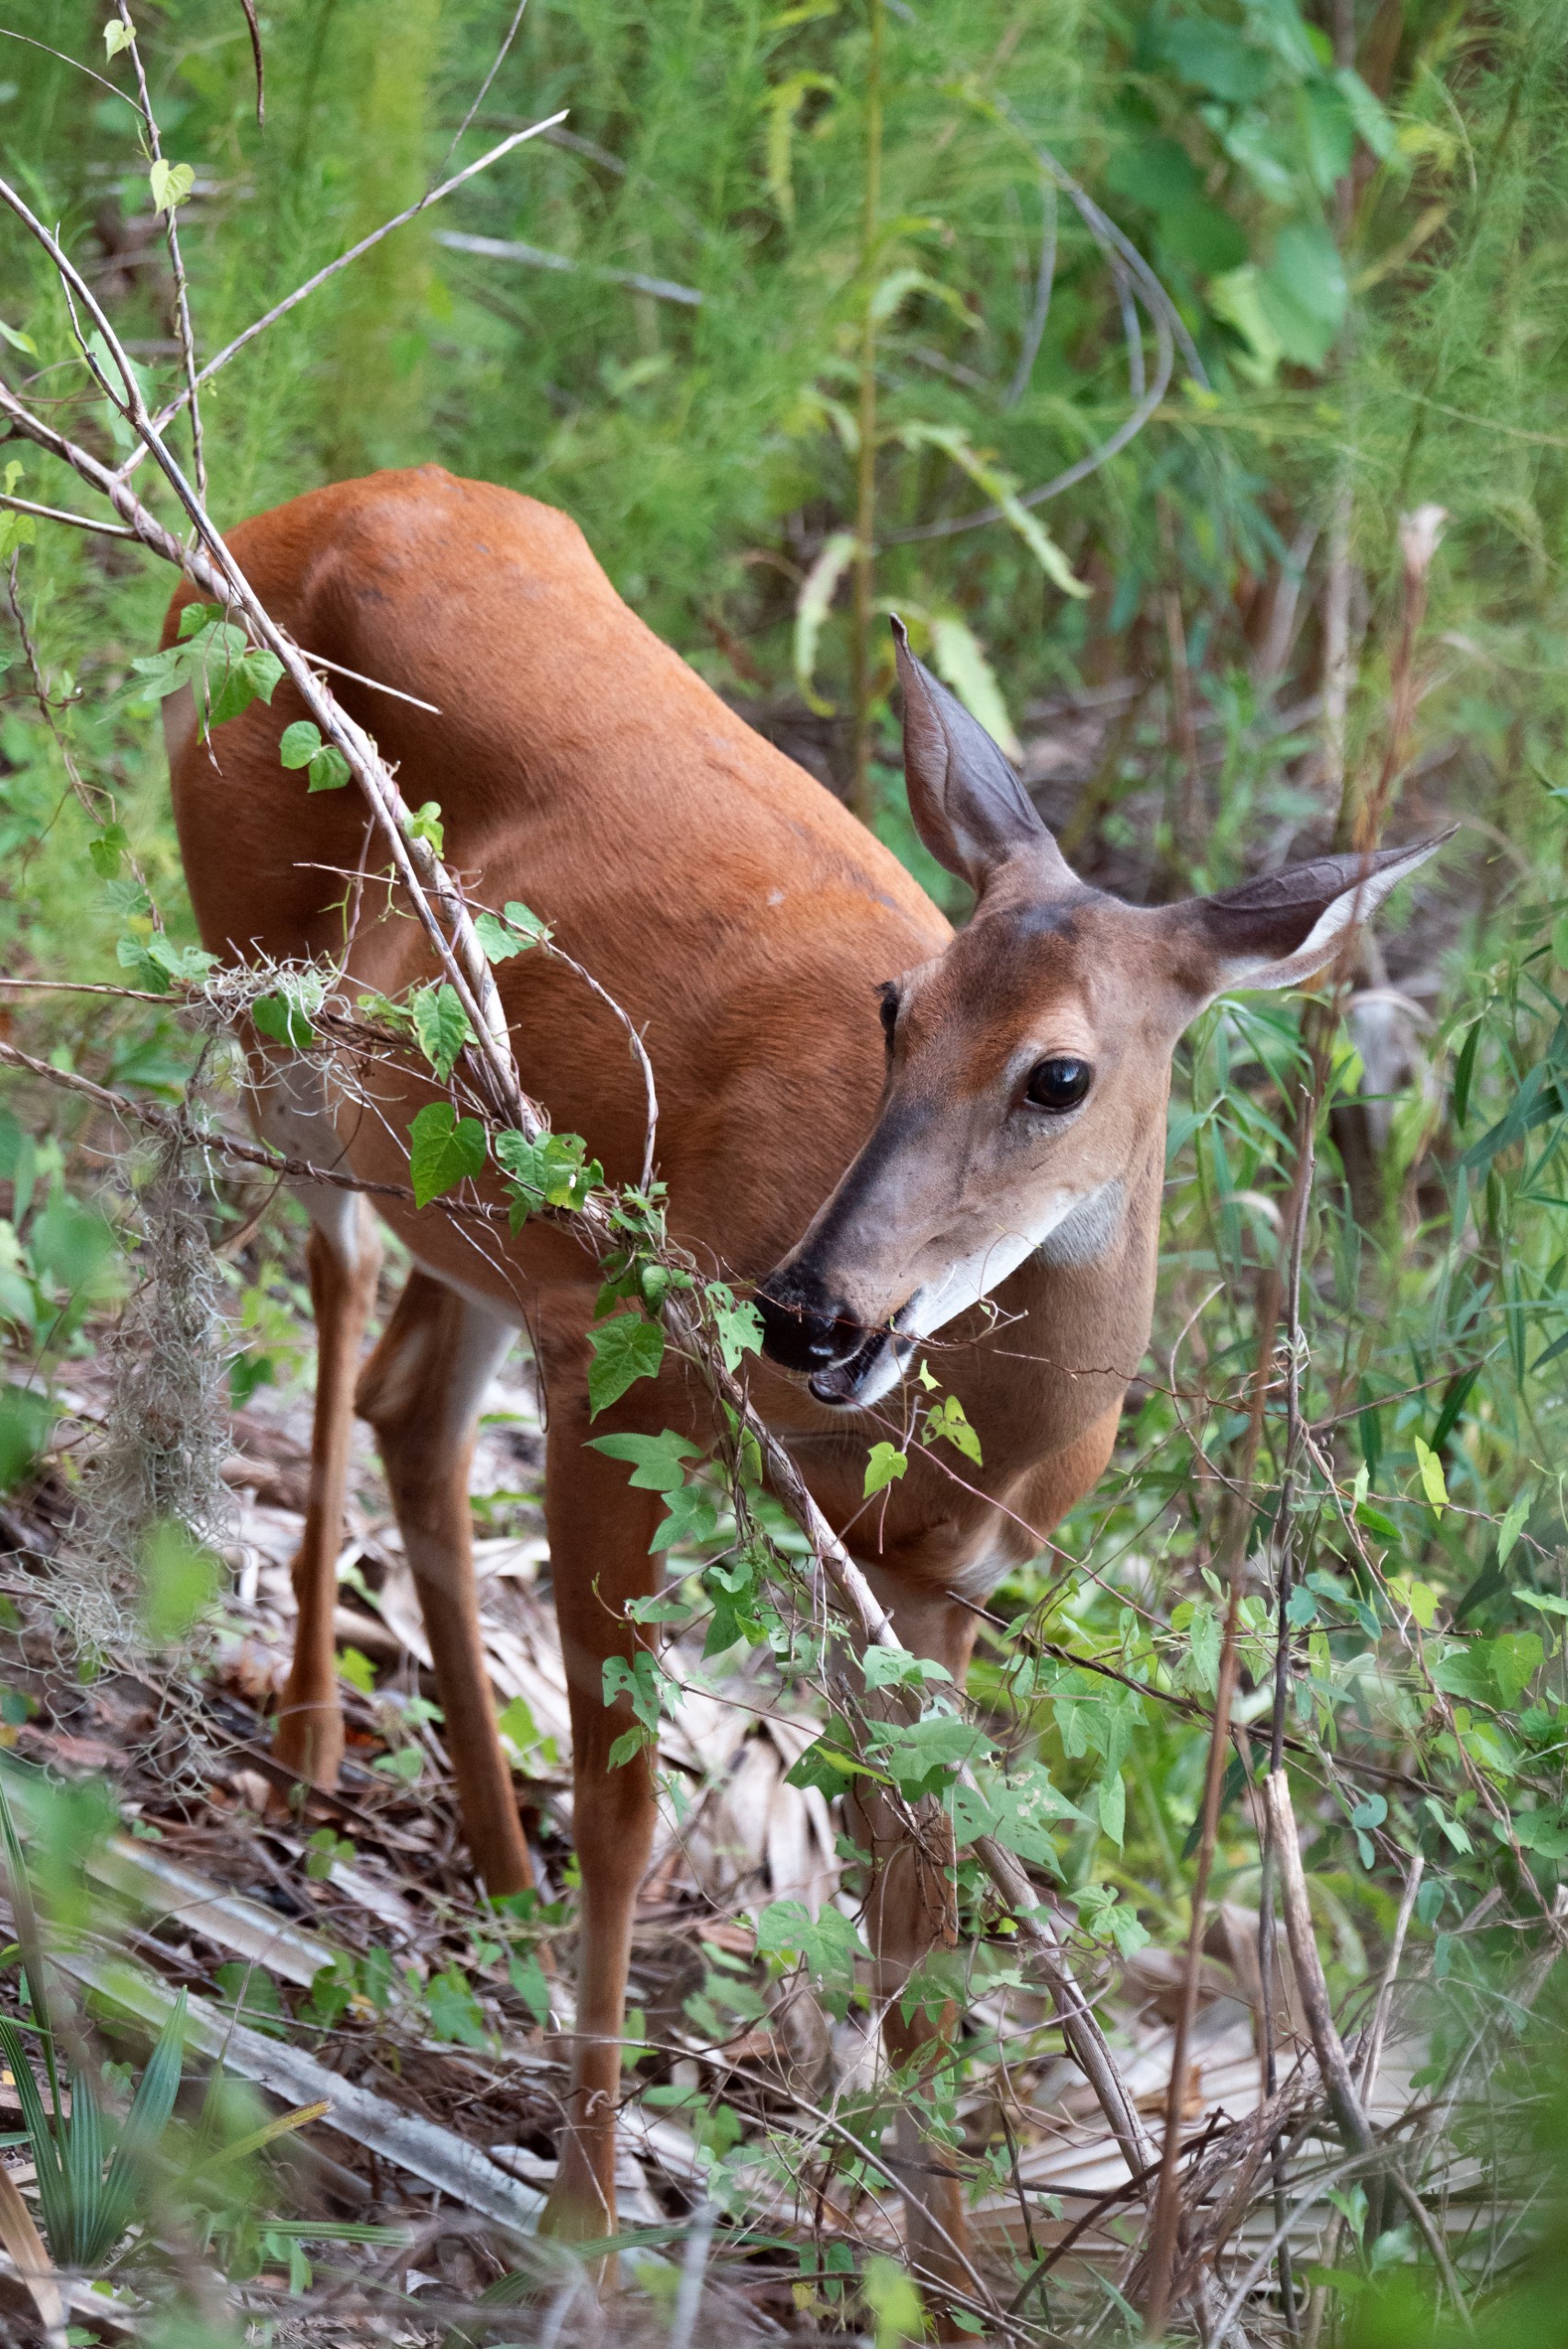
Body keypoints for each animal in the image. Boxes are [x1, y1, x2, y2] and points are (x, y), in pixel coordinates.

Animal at [161, 464, 1434, 2301]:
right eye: (896, 1007)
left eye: (1059, 1074)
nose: (808, 1312)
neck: (958, 1438)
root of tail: (308, 503)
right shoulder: (629, 1390)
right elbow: (630, 1808)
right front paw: (582, 2217)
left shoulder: (935, 1584)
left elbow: (917, 1949)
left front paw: (952, 2287)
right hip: (270, 991)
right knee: (325, 1295)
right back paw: (312, 1740)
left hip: (487, 1208)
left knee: (411, 1394)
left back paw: (488, 1856)